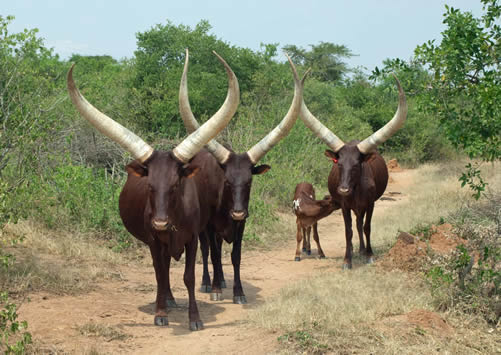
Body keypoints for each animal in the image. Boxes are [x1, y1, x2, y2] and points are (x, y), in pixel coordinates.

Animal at [67, 51, 239, 332]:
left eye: (175, 185)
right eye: (149, 186)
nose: (160, 222)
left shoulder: (192, 239)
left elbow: (189, 277)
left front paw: (194, 318)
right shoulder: (154, 240)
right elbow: (160, 274)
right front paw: (160, 314)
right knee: (164, 270)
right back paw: (167, 301)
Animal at [178, 49, 306, 304]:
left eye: (249, 181)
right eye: (227, 181)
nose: (237, 211)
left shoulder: (241, 225)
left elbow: (235, 256)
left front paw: (238, 292)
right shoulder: (210, 225)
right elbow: (214, 254)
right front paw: (215, 290)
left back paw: (222, 280)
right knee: (207, 250)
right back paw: (208, 282)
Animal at [298, 74, 404, 270]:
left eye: (356, 165)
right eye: (339, 164)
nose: (343, 190)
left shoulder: (370, 203)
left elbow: (367, 227)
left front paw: (369, 255)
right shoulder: (345, 205)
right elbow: (348, 231)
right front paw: (347, 260)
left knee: (360, 223)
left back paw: (362, 249)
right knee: (356, 224)